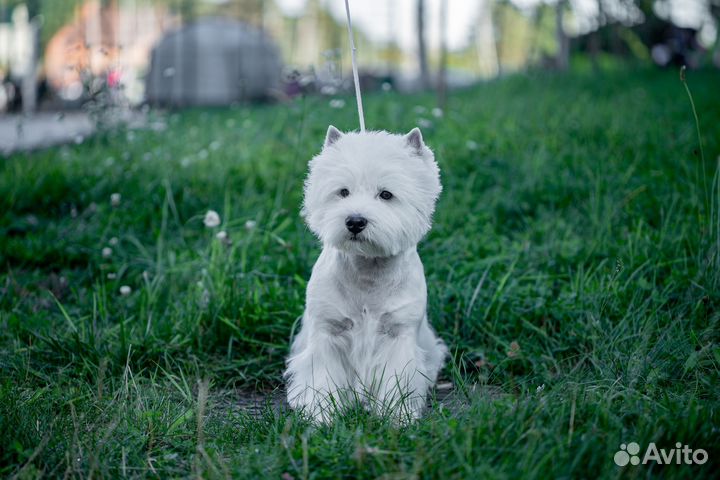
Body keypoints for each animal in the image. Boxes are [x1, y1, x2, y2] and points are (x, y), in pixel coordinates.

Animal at [284, 125, 448, 422]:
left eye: (386, 195)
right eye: (343, 192)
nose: (355, 221)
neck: (367, 271)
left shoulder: (398, 334)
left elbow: (397, 378)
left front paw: (397, 416)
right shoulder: (328, 332)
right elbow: (322, 377)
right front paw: (321, 414)